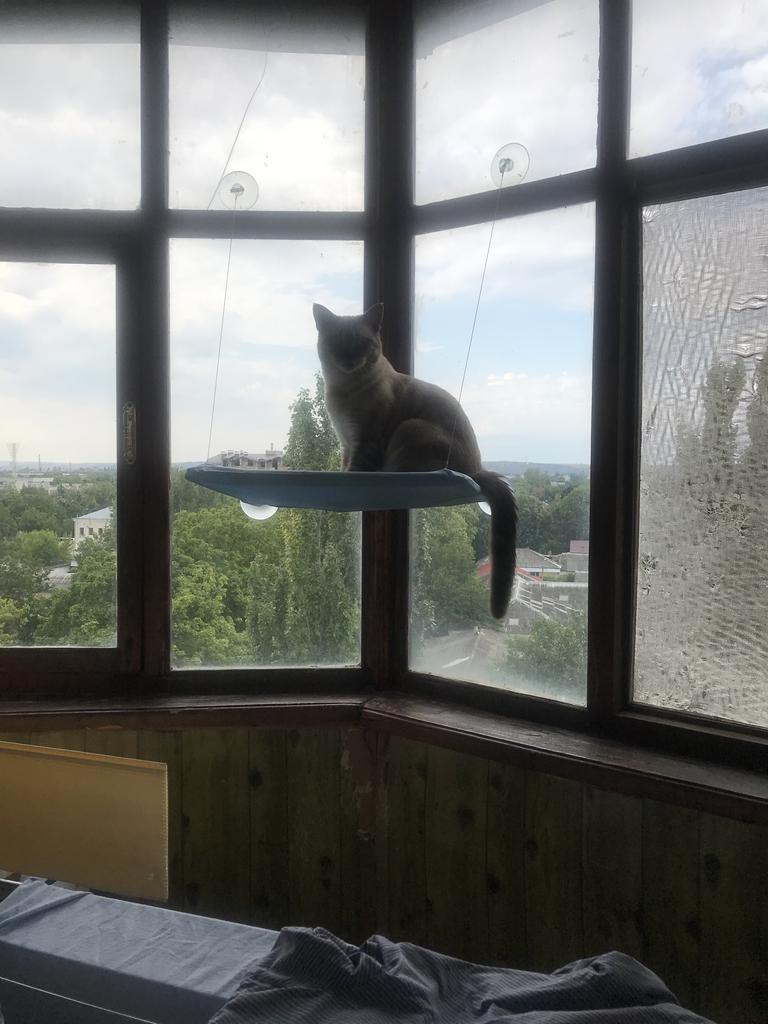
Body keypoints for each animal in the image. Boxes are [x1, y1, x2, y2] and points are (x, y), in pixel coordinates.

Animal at [313, 301, 517, 620]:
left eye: (361, 344)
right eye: (337, 343)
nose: (349, 359)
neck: (342, 389)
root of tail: (475, 471)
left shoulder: (364, 442)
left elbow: (353, 472)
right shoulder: (347, 441)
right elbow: (344, 468)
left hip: (409, 429)